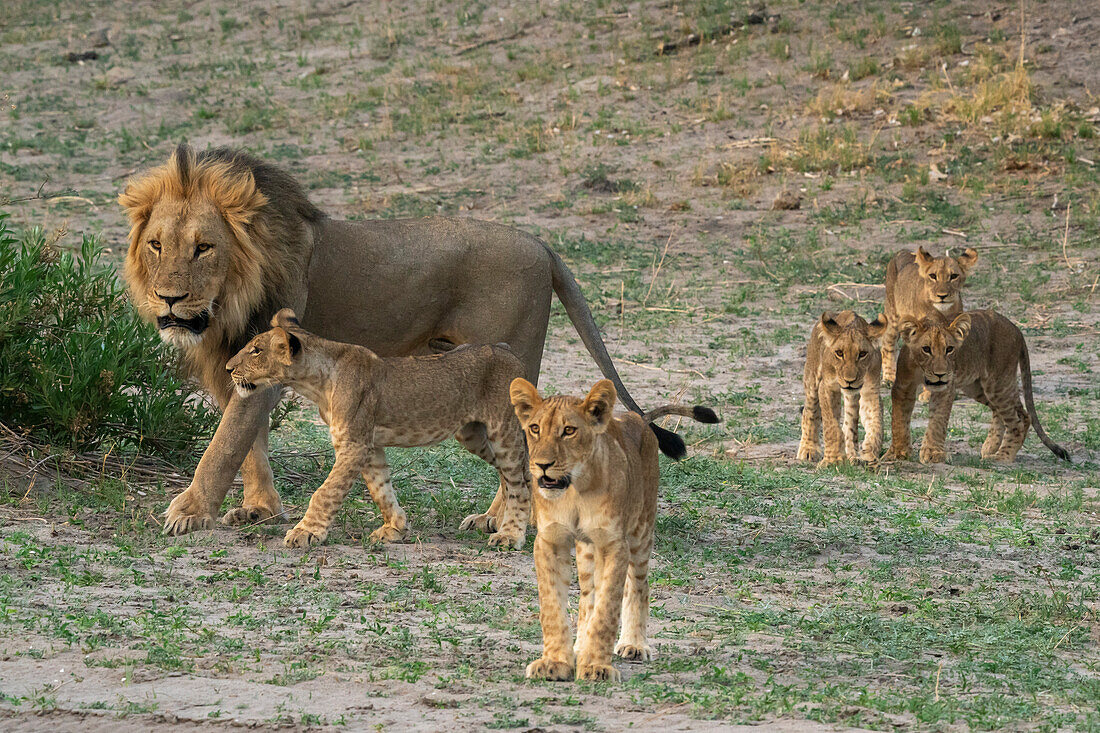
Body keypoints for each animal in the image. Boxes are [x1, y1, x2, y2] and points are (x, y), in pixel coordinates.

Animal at [224, 308, 528, 548]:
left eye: (255, 350)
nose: (228, 368)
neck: (317, 383)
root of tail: (506, 349)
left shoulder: (354, 445)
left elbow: (325, 493)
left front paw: (305, 532)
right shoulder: (368, 446)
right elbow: (381, 489)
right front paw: (396, 529)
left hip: (504, 431)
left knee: (520, 482)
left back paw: (511, 535)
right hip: (473, 435)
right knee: (513, 475)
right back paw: (499, 521)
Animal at [508, 376, 717, 677]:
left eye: (569, 431)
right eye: (535, 428)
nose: (542, 465)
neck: (575, 490)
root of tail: (637, 417)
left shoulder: (613, 543)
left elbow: (608, 607)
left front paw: (597, 666)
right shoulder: (550, 540)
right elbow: (552, 606)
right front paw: (555, 662)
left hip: (641, 532)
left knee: (638, 586)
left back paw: (634, 644)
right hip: (586, 550)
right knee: (587, 597)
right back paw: (580, 646)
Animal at [888, 310, 1069, 462]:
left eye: (949, 349)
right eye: (926, 349)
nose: (941, 374)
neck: (922, 370)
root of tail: (1017, 329)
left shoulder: (945, 389)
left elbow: (937, 421)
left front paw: (933, 453)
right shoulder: (902, 386)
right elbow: (899, 419)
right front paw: (898, 452)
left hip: (998, 382)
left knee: (1020, 419)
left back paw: (1002, 456)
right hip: (977, 387)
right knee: (1007, 411)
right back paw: (990, 447)